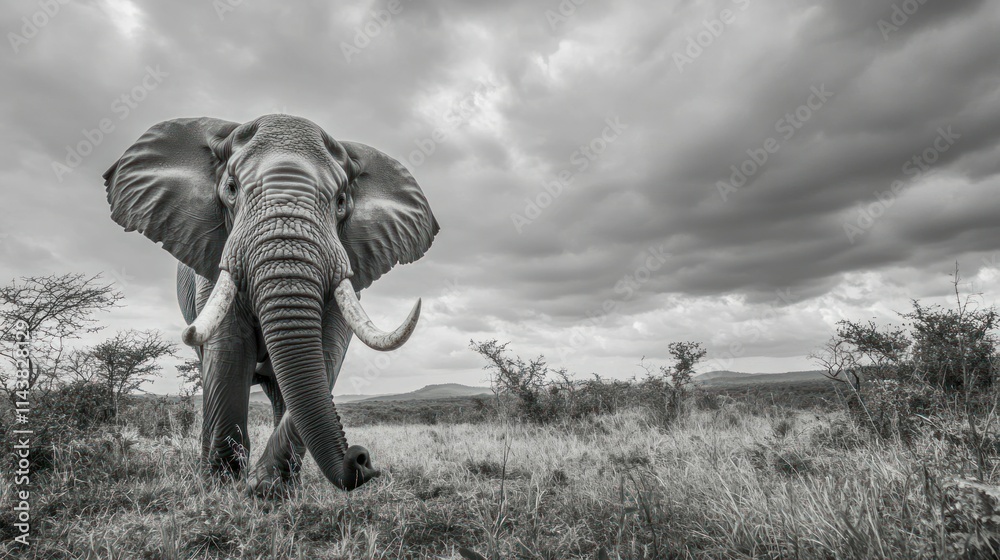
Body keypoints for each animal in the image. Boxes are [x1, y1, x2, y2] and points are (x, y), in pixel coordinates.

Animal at [102, 114, 439, 492]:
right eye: (231, 189)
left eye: (340, 202)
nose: (361, 459)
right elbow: (229, 349)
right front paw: (224, 486)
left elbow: (327, 351)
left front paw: (267, 488)